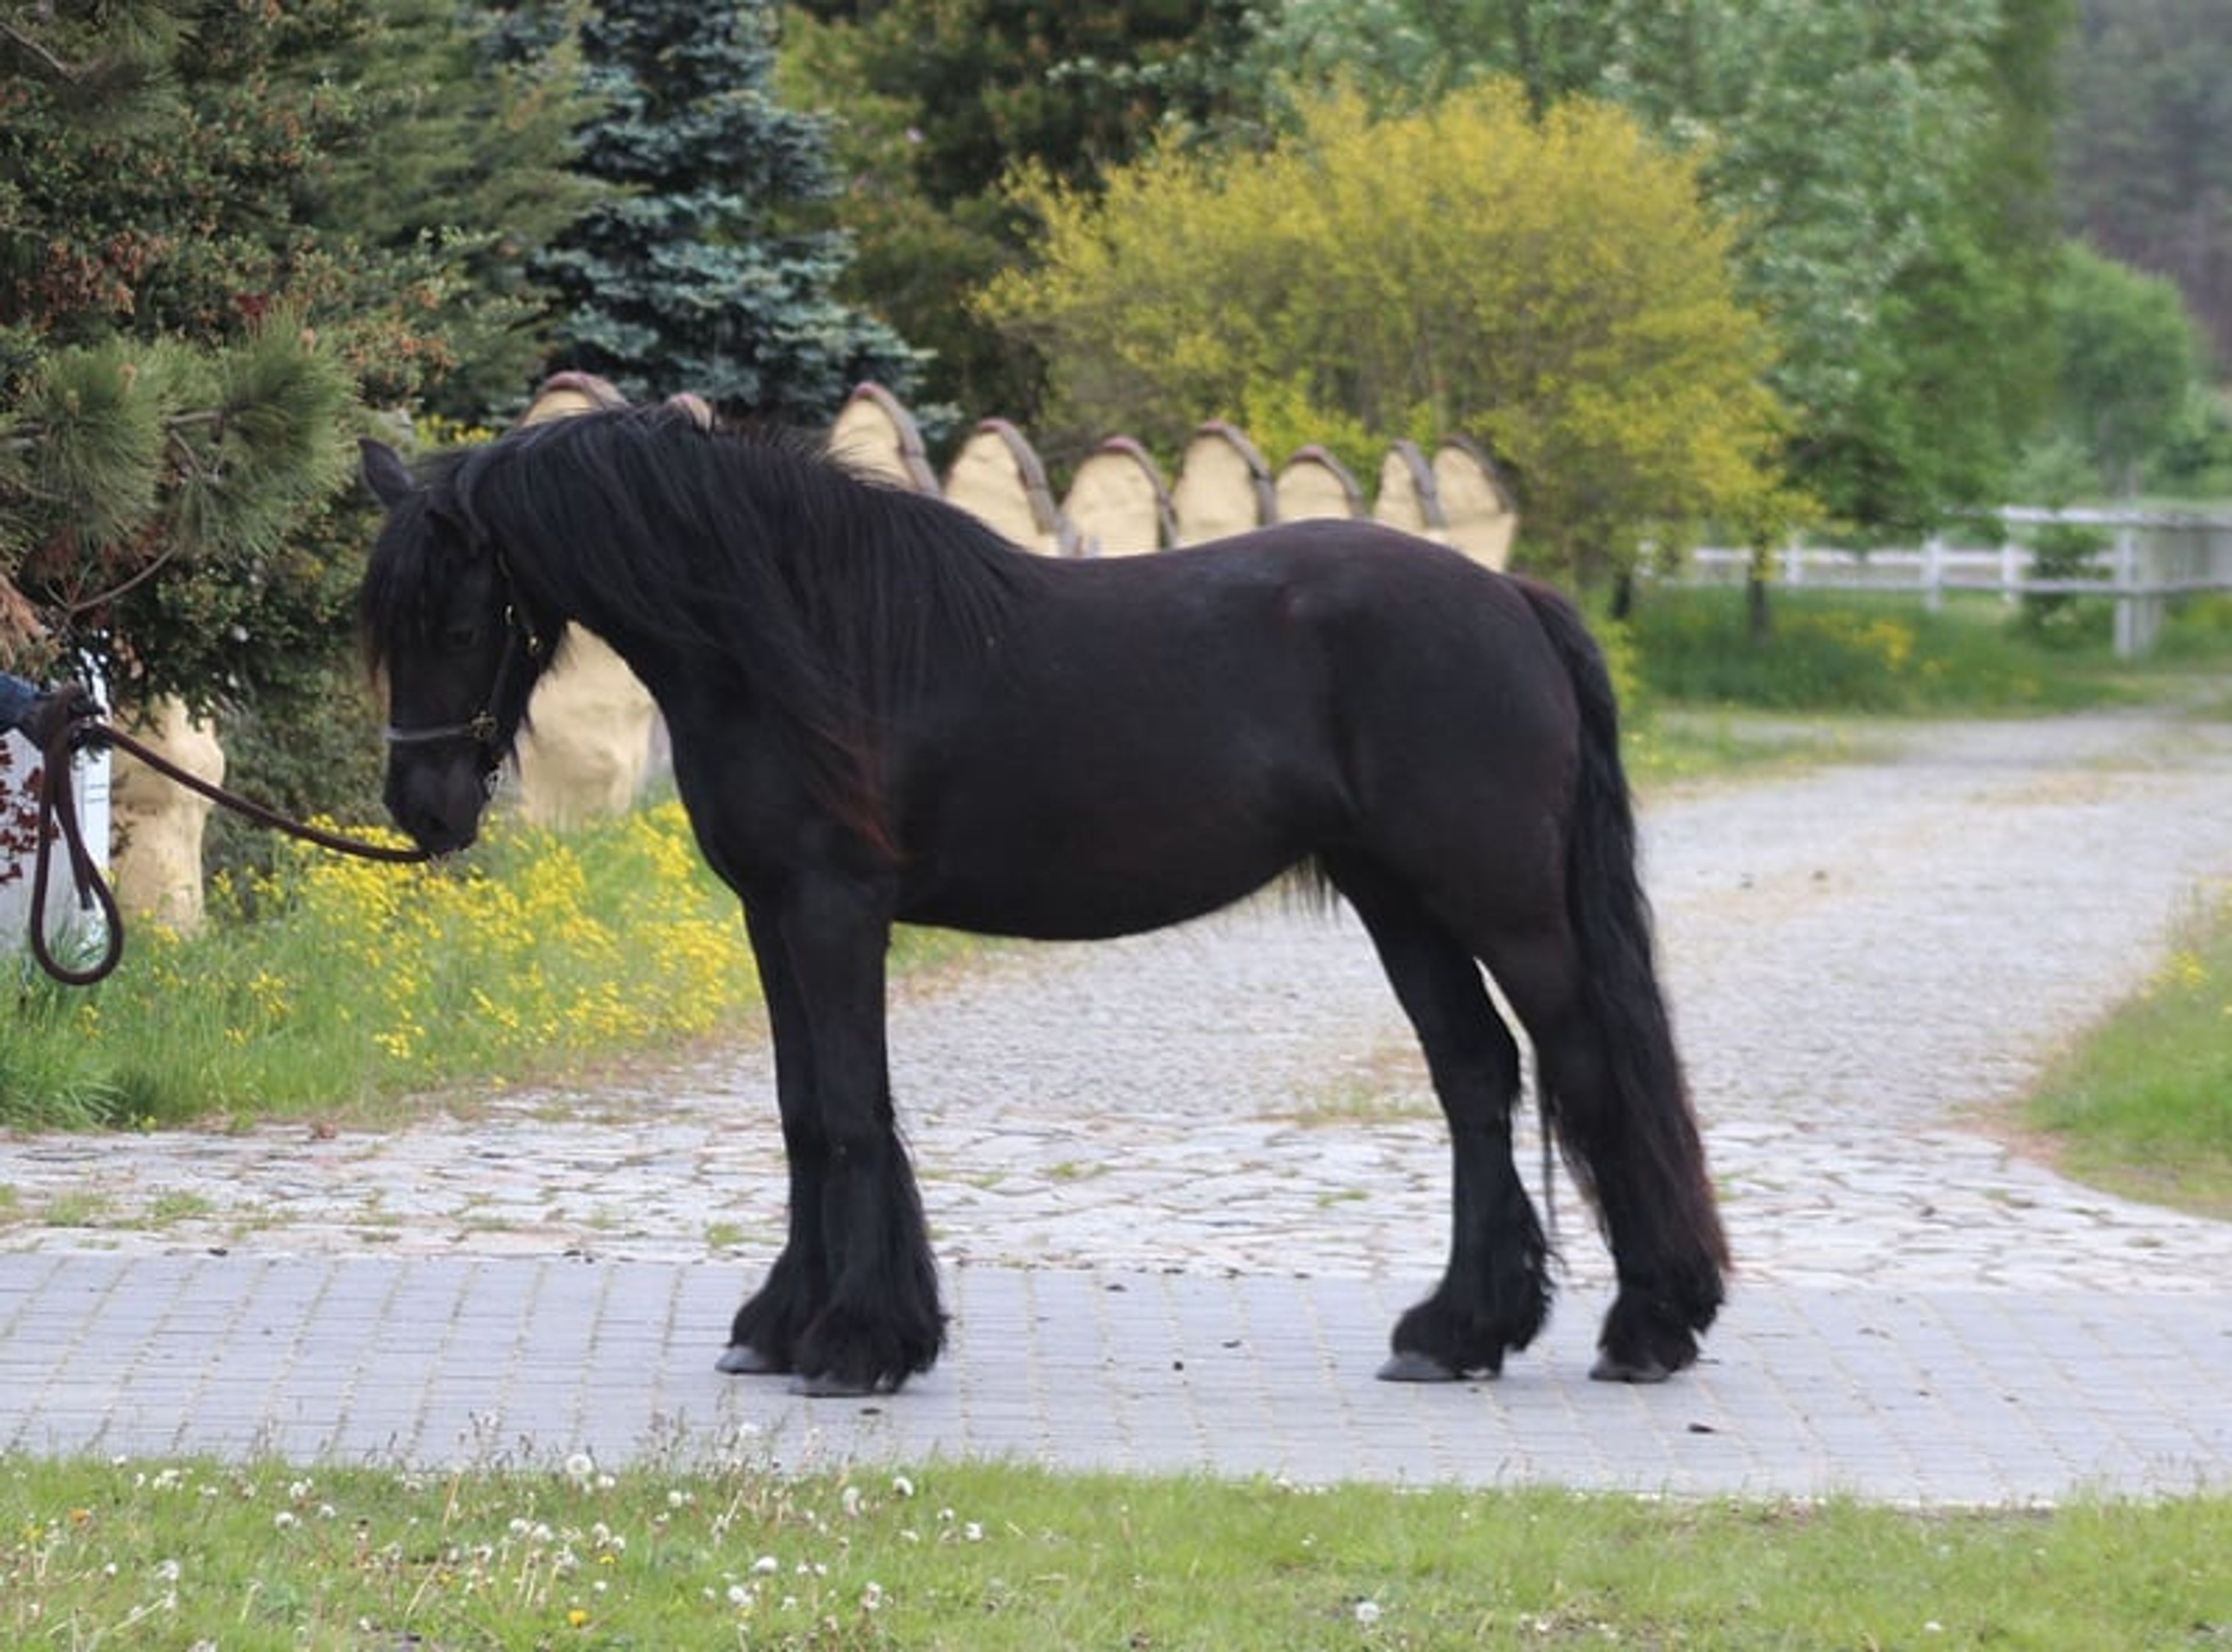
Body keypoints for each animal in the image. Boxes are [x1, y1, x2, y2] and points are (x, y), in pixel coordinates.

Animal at [358, 403, 1728, 1398]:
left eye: (465, 617)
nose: (424, 805)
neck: (789, 635)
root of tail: (1514, 602)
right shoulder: (769, 912)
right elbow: (803, 1112)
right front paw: (784, 1323)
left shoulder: (835, 907)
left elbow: (849, 1109)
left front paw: (859, 1342)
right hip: (1403, 901)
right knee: (1476, 1075)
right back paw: (1457, 1330)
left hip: (1503, 906)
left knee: (1590, 1065)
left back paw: (1649, 1326)